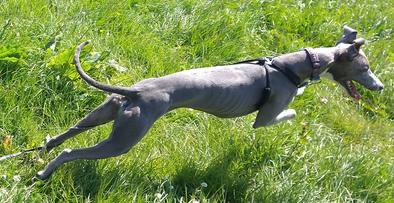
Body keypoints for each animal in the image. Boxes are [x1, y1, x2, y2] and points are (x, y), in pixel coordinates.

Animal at [35, 26, 384, 180]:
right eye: (365, 68)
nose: (380, 87)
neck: (292, 65)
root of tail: (134, 91)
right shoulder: (266, 117)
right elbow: (288, 111)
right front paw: (297, 103)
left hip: (104, 114)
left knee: (61, 138)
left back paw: (39, 152)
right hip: (125, 138)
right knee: (70, 151)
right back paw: (44, 173)